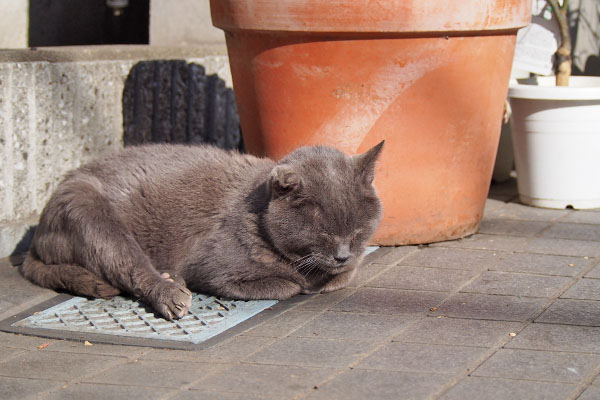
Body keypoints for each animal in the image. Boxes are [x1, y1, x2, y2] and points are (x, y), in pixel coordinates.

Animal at [22, 141, 384, 318]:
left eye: (357, 230)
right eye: (323, 234)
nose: (342, 254)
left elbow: (340, 277)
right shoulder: (213, 269)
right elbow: (287, 285)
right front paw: (301, 283)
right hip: (93, 214)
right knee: (130, 267)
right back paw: (171, 291)